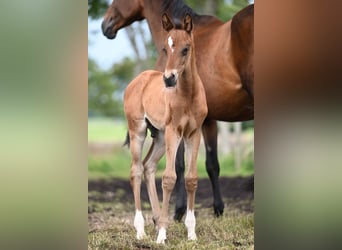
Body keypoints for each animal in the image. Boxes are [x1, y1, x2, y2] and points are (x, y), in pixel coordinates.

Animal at [101, 0, 254, 219]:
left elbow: (180, 165)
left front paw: (179, 211)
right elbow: (212, 164)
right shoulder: (207, 121)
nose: (106, 25)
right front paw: (218, 209)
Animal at [124, 14, 207, 244]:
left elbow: (191, 178)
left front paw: (191, 233)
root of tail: (137, 80)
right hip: (138, 131)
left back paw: (154, 219)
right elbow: (169, 178)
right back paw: (141, 229)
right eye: (166, 48)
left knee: (148, 166)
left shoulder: (194, 133)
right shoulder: (174, 131)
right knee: (136, 170)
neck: (188, 95)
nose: (169, 78)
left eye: (185, 48)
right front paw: (162, 234)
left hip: (160, 137)